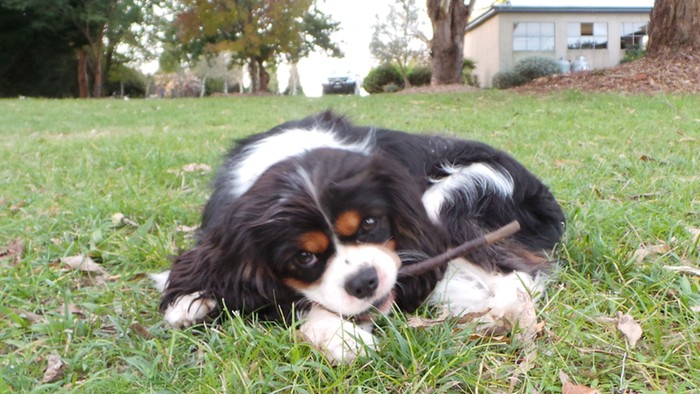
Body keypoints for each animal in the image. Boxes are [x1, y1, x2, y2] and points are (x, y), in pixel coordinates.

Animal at [156, 111, 568, 364]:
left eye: (371, 223)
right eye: (304, 257)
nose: (365, 281)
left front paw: (341, 338)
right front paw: (192, 299)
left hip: (451, 197)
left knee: (519, 277)